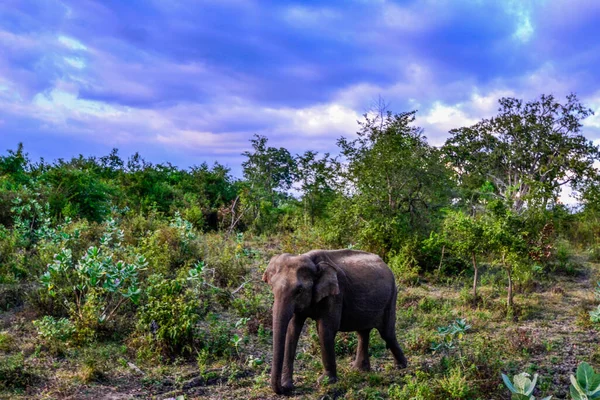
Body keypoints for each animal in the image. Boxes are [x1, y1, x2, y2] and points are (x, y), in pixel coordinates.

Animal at [262, 250, 408, 394]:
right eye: (272, 288)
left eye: (299, 290)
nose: (286, 389)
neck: (311, 260)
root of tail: (385, 264)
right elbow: (293, 330)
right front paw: (288, 384)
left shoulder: (336, 295)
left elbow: (325, 329)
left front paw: (325, 382)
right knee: (363, 332)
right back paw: (359, 370)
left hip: (391, 297)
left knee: (387, 333)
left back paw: (401, 366)